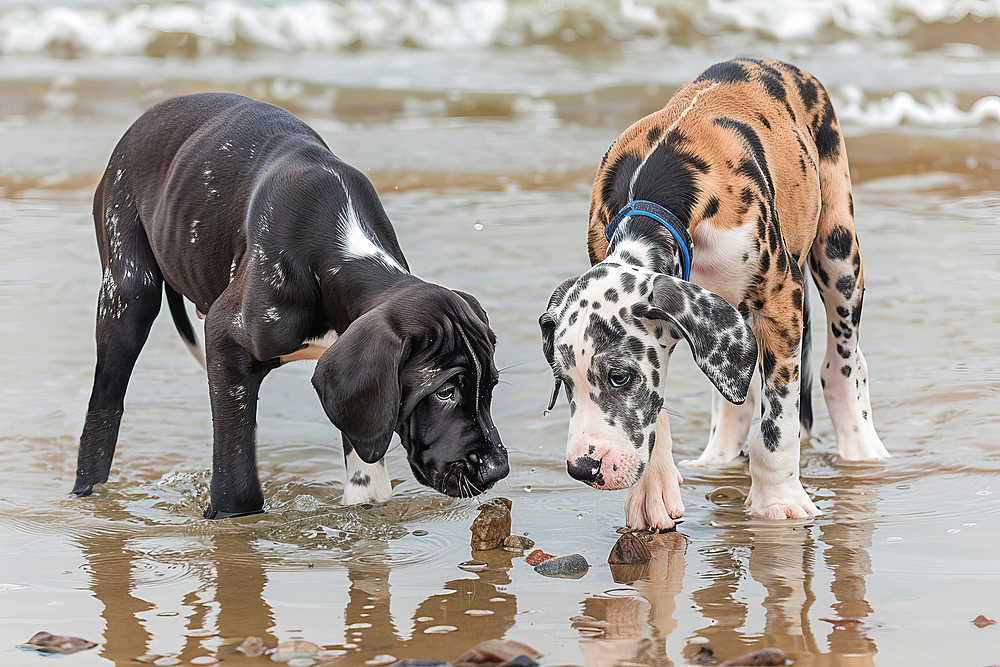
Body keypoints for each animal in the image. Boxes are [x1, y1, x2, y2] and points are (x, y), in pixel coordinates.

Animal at [73, 92, 508, 520]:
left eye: (490, 386)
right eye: (444, 392)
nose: (497, 470)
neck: (338, 254)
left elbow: (366, 469)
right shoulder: (226, 340)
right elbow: (235, 468)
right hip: (128, 294)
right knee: (103, 405)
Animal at [544, 57, 888, 528]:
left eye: (620, 377)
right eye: (564, 382)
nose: (583, 468)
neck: (655, 196)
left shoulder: (781, 302)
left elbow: (777, 422)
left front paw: (778, 499)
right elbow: (658, 408)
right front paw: (652, 490)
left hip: (837, 252)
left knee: (844, 360)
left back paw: (861, 448)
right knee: (733, 389)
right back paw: (717, 457)